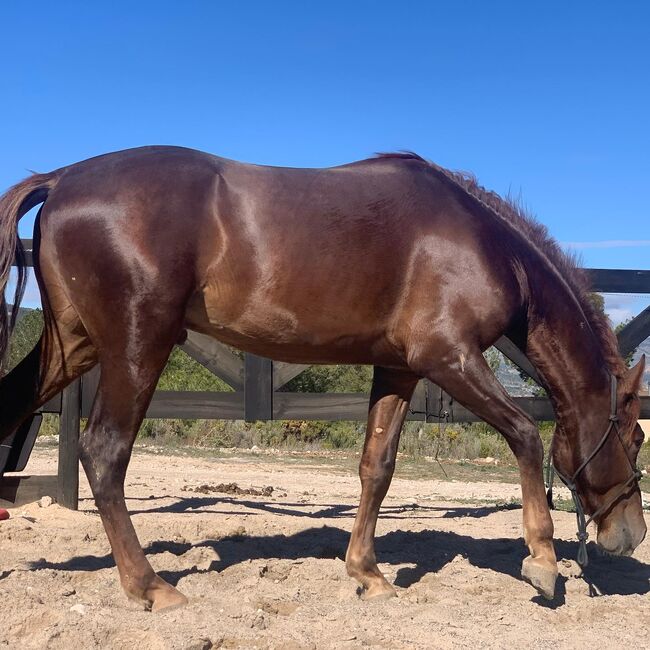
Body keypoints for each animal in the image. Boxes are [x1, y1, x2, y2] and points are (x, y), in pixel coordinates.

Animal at [0, 147, 644, 608]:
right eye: (635, 438)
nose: (632, 535)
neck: (483, 245)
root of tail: (61, 179)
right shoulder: (449, 357)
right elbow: (525, 435)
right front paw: (543, 562)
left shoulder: (399, 368)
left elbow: (377, 467)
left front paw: (368, 574)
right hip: (137, 347)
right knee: (105, 452)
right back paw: (150, 586)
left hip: (74, 347)